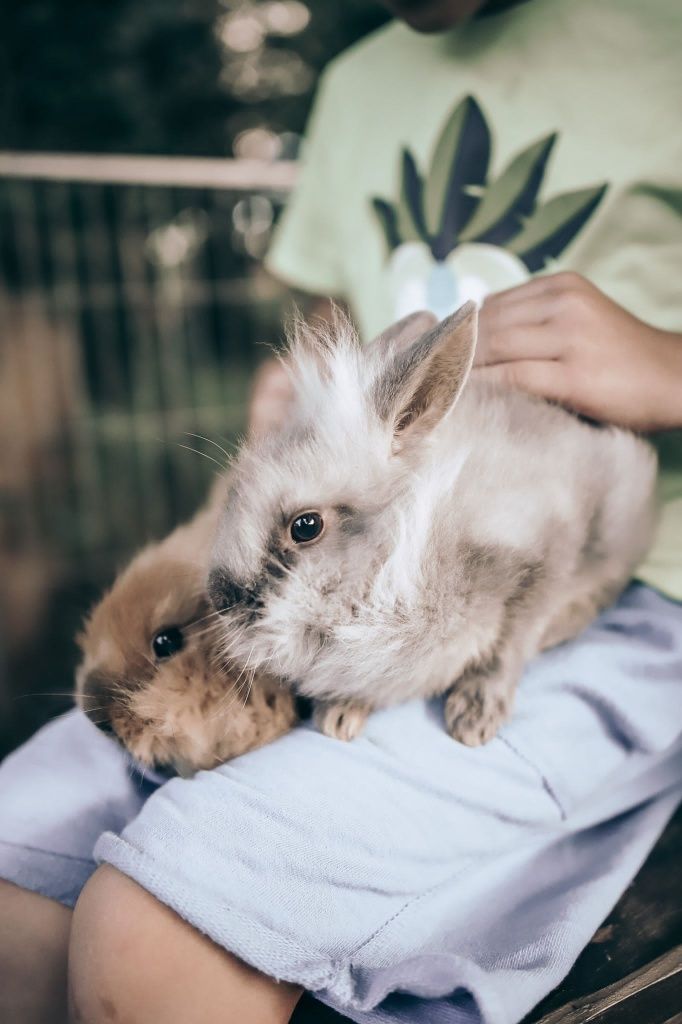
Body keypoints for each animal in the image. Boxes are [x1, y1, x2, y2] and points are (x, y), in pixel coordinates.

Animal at [208, 303, 659, 745]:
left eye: (305, 526)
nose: (220, 599)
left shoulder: (549, 546)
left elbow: (510, 645)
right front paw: (339, 715)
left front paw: (474, 717)